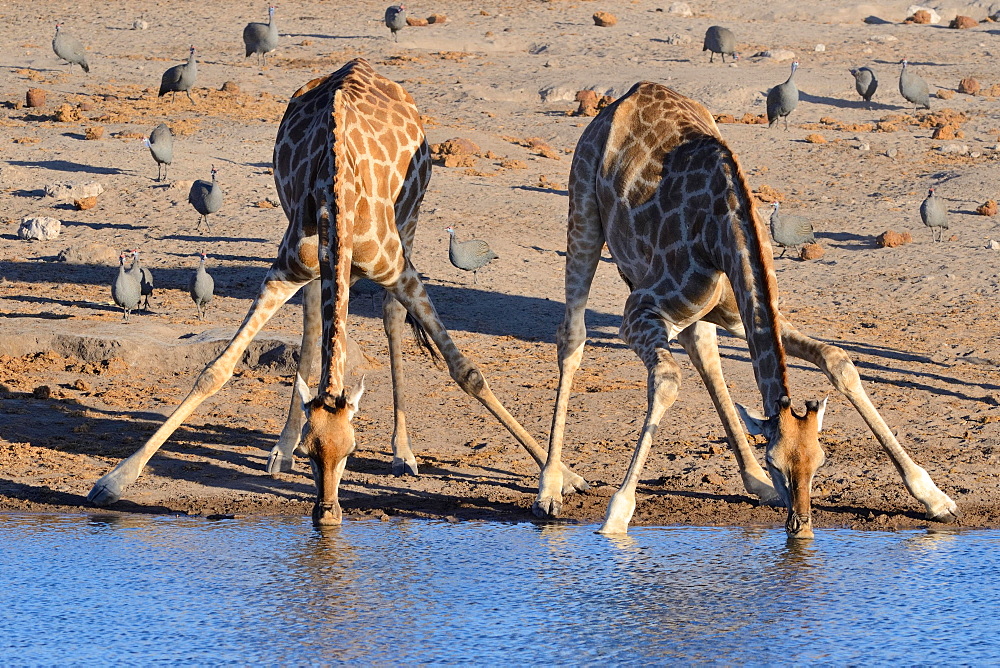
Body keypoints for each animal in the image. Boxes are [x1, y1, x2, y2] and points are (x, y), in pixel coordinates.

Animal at [88, 58, 584, 520]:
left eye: (351, 451)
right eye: (313, 452)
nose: (327, 511)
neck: (339, 202)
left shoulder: (399, 270)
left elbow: (468, 372)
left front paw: (563, 478)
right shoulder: (285, 268)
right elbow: (215, 371)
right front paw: (113, 481)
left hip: (411, 221)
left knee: (390, 316)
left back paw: (403, 453)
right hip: (310, 261)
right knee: (313, 324)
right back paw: (280, 449)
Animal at [532, 81, 960, 536]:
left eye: (821, 462)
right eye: (777, 462)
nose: (801, 525)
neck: (724, 234)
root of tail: (629, 95)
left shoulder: (743, 312)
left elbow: (837, 360)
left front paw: (934, 497)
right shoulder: (638, 311)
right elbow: (666, 380)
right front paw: (617, 517)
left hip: (704, 310)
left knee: (704, 352)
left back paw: (754, 482)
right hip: (583, 210)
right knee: (573, 336)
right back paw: (550, 488)